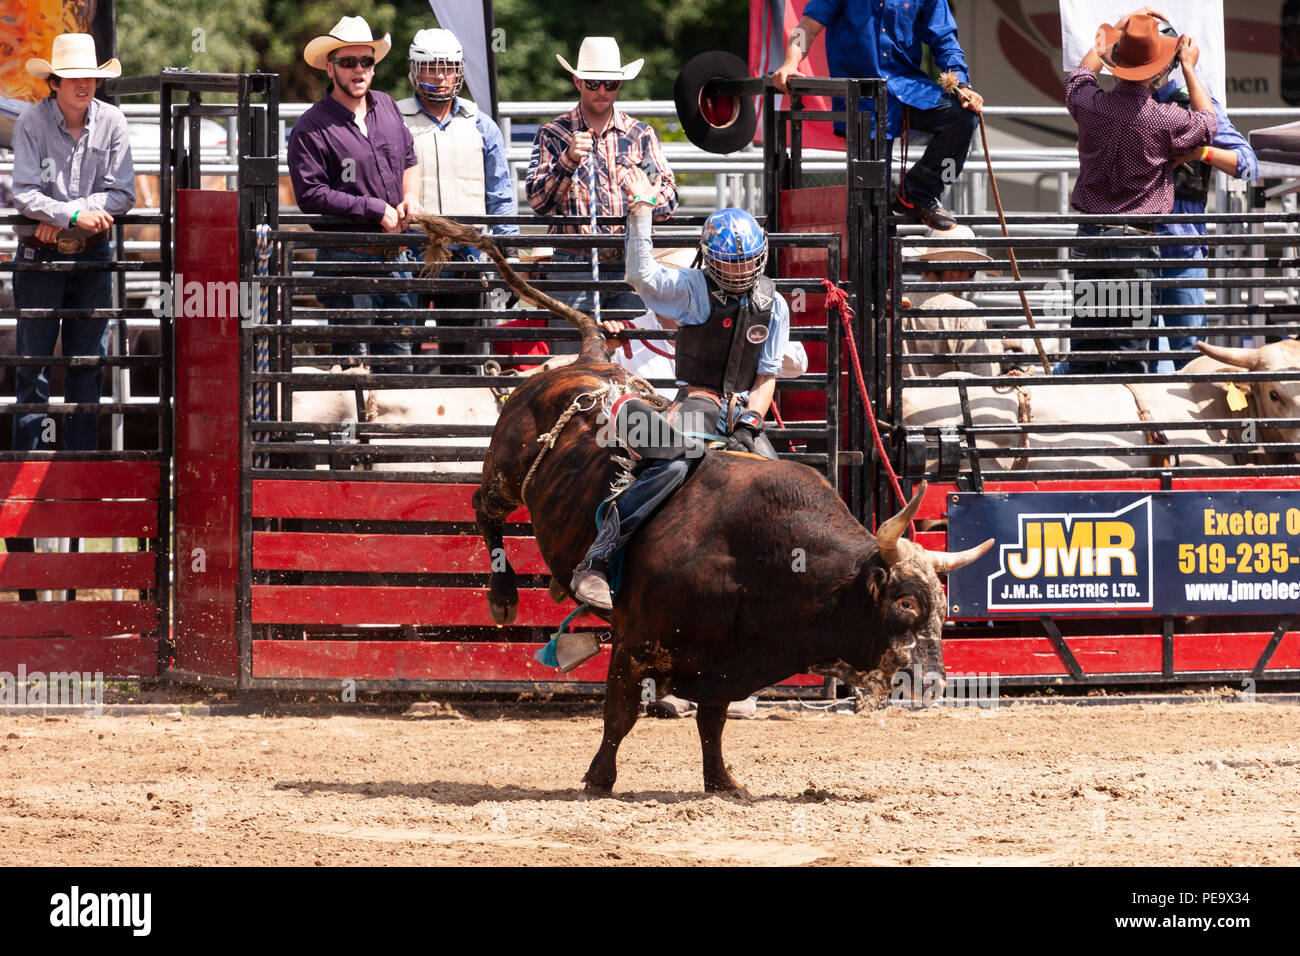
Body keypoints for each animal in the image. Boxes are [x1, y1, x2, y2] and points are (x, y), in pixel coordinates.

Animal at [418, 217, 993, 790]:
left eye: (943, 609)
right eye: (905, 604)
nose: (935, 683)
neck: (762, 558)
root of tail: (587, 360)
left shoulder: (726, 665)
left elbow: (712, 723)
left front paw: (721, 781)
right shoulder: (635, 642)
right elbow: (620, 714)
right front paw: (599, 777)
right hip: (506, 473)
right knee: (483, 508)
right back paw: (505, 595)